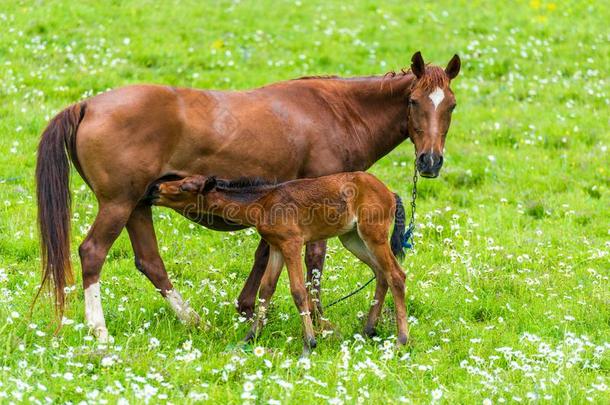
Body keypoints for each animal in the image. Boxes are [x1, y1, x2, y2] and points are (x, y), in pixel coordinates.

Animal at [149, 174, 408, 354]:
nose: (155, 188)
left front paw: (309, 342)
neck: (263, 203)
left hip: (373, 235)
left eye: (184, 187)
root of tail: (390, 192)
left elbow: (298, 291)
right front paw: (249, 337)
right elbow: (266, 290)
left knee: (396, 275)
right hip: (352, 238)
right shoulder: (276, 247)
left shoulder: (292, 243)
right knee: (381, 273)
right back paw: (368, 330)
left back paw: (401, 340)